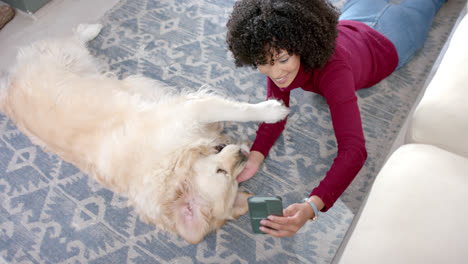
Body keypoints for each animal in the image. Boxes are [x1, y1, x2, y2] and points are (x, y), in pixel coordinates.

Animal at [0, 24, 288, 243]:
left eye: (235, 179)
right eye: (222, 174)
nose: (242, 155)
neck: (171, 165)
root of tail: (9, 92)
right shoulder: (190, 109)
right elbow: (235, 109)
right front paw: (273, 110)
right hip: (70, 57)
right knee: (72, 41)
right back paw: (90, 29)